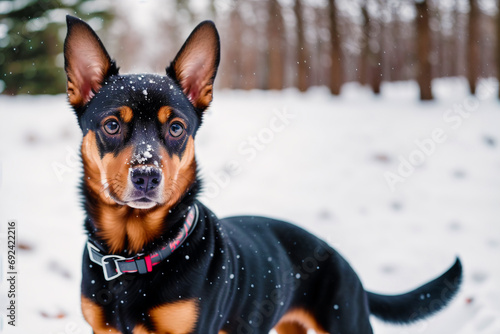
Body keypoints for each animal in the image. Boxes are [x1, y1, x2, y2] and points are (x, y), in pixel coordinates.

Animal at [64, 15, 462, 334]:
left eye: (176, 128)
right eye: (112, 124)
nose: (147, 176)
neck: (135, 255)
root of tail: (340, 258)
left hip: (346, 321)